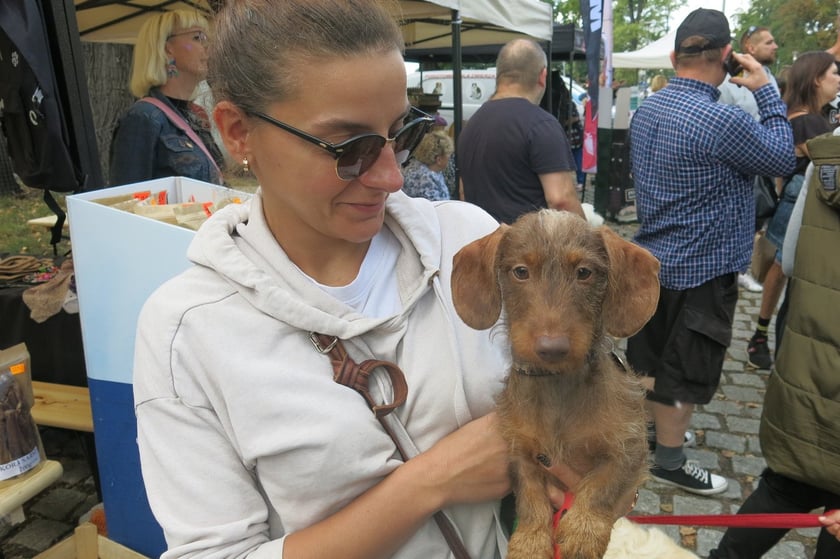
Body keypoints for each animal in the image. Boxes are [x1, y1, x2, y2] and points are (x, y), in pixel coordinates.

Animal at [452, 210, 664, 559]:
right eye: (521, 271)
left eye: (584, 272)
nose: (552, 348)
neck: (557, 386)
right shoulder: (521, 450)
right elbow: (530, 494)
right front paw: (530, 540)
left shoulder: (631, 445)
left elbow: (604, 482)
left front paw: (583, 531)